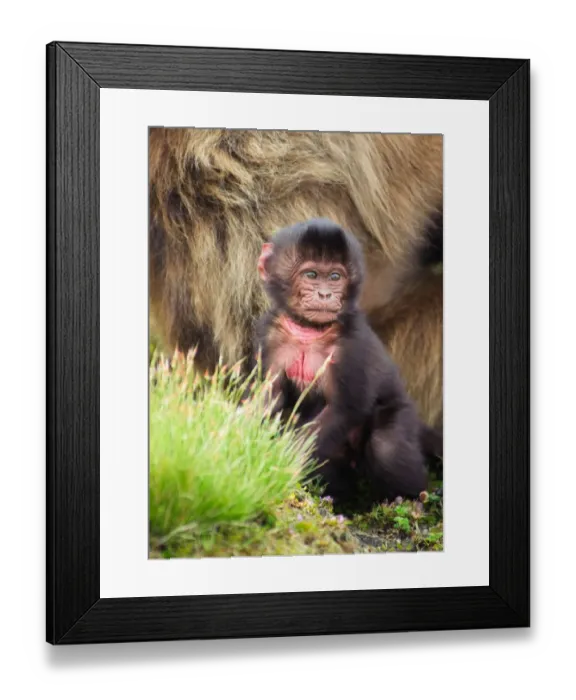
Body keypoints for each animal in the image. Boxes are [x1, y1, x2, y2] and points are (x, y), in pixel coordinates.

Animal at [251, 218, 439, 503]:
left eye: (335, 277)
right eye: (312, 275)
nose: (325, 294)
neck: (309, 331)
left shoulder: (350, 348)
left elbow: (345, 407)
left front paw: (284, 460)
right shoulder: (269, 335)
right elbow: (270, 395)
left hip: (402, 412)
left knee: (386, 445)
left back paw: (411, 501)